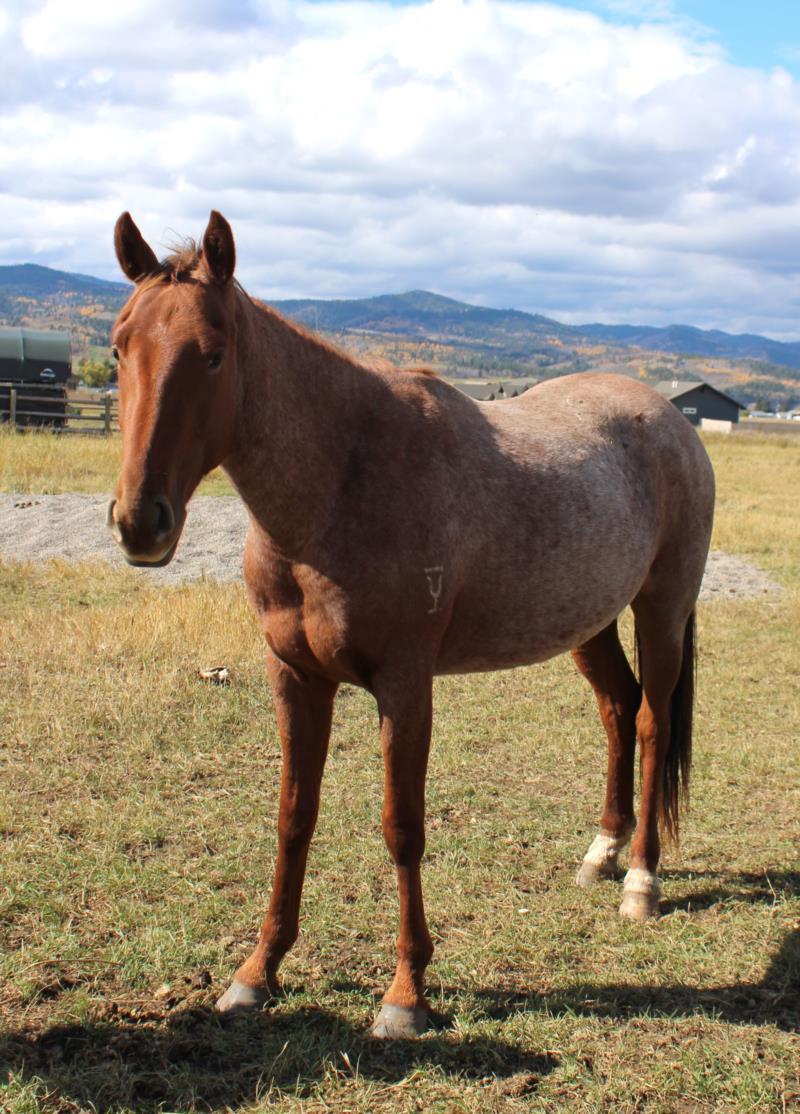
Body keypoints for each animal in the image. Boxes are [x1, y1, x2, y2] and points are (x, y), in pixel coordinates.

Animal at [109, 212, 717, 1038]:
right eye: (119, 347)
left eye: (212, 354)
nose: (141, 522)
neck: (341, 482)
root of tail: (671, 419)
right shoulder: (295, 677)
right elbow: (293, 817)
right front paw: (258, 972)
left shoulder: (405, 686)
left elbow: (403, 828)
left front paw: (406, 994)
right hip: (588, 622)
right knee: (618, 710)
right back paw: (601, 851)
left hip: (662, 608)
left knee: (652, 722)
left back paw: (642, 882)